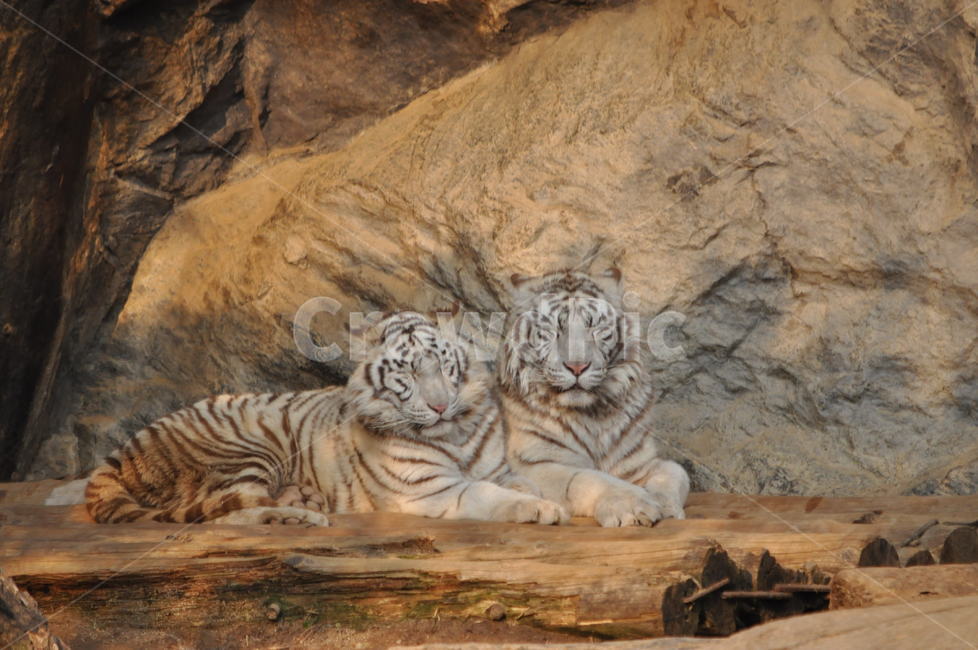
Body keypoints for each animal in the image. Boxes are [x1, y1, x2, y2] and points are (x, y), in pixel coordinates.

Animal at [86, 311, 568, 526]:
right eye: (409, 373)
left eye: (444, 365)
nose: (438, 406)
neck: (455, 434)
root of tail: (122, 450)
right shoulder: (432, 489)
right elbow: (490, 495)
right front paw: (543, 509)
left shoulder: (497, 468)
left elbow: (516, 482)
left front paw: (538, 496)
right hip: (245, 446)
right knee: (221, 515)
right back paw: (301, 518)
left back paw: (303, 501)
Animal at [497, 268, 690, 527]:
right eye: (553, 331)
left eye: (595, 329)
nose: (577, 366)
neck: (593, 414)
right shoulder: (534, 463)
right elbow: (588, 478)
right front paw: (635, 505)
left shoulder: (638, 463)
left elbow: (675, 472)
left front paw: (665, 505)